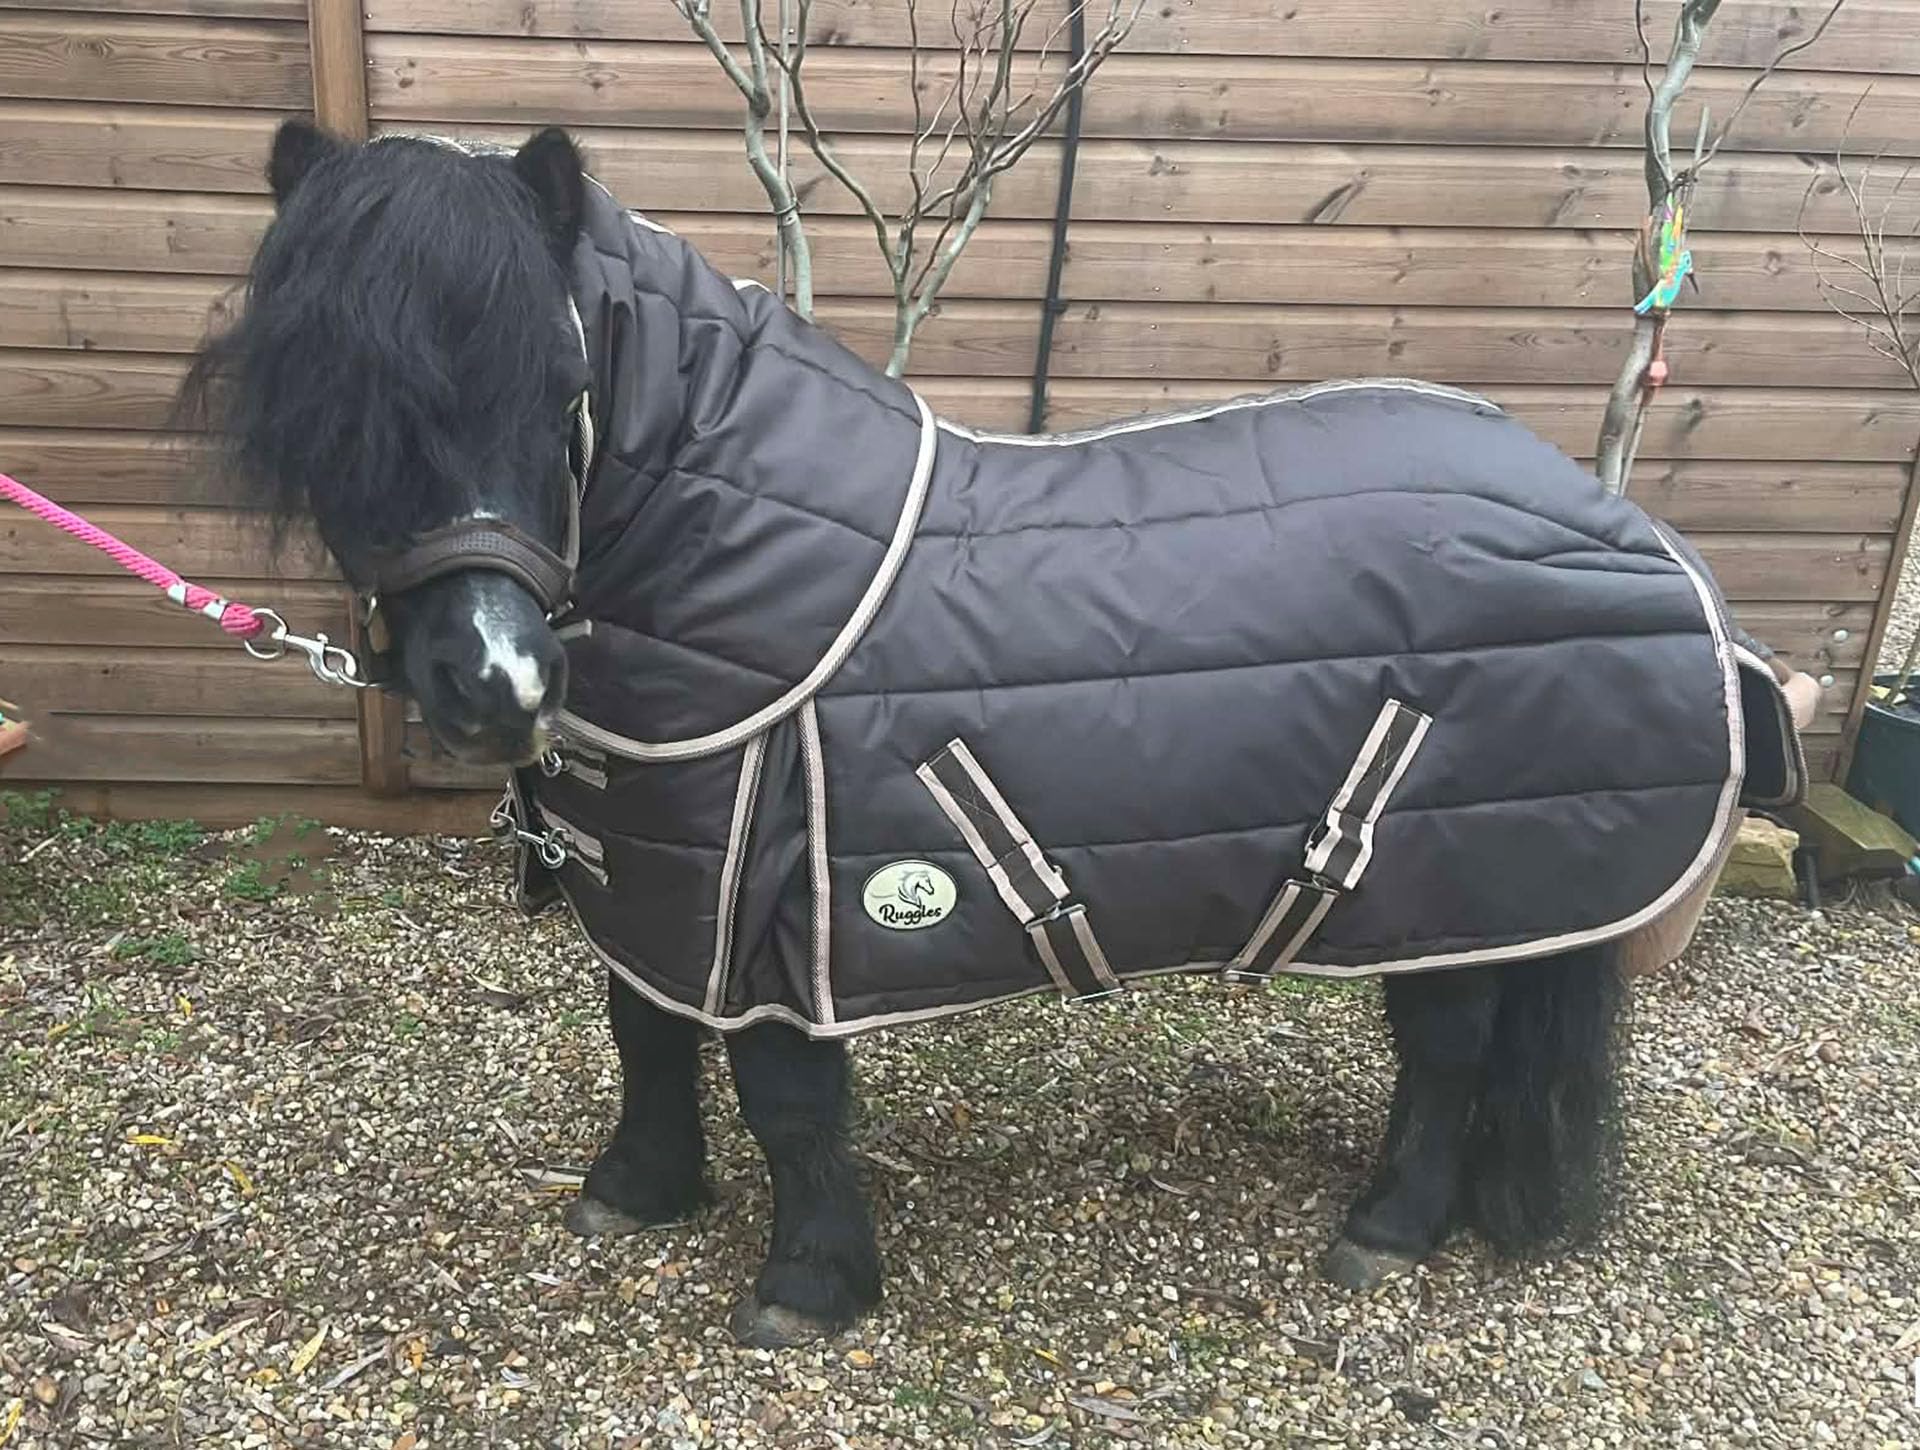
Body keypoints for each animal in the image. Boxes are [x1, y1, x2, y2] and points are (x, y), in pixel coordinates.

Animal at [180, 120, 1803, 1348]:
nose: (492, 682)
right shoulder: (651, 870)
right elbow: (646, 1032)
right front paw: (634, 1190)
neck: (762, 559)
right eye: (329, 409)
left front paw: (807, 1285)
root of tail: (1636, 533)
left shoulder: (783, 903)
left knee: (1451, 1046)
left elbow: (787, 1101)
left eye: (566, 386)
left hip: (1452, 875)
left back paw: (1389, 1226)